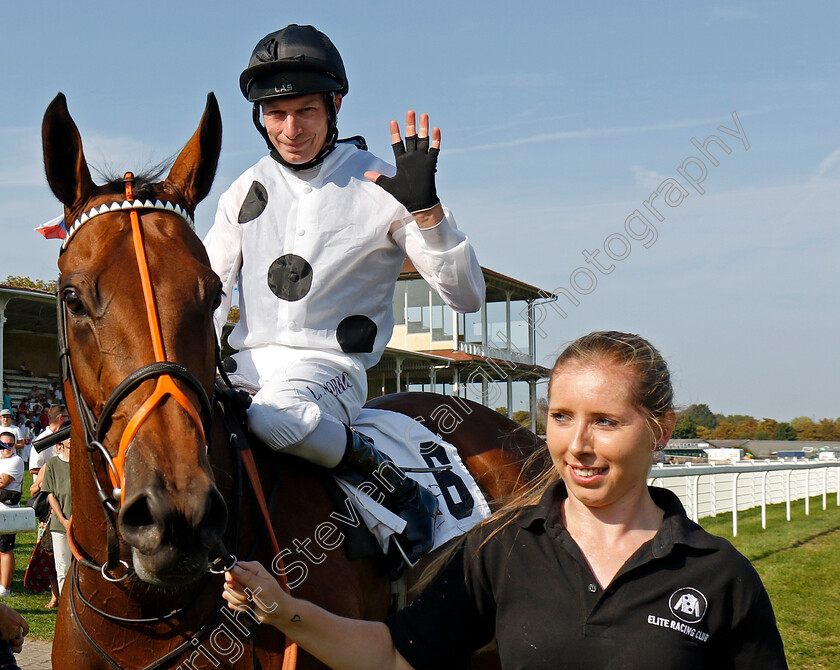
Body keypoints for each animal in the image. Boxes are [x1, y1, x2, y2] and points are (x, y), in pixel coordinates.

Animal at [42, 93, 544, 670]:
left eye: (212, 294)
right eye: (73, 298)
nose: (178, 515)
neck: (144, 614)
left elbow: (466, 289)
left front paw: (417, 178)